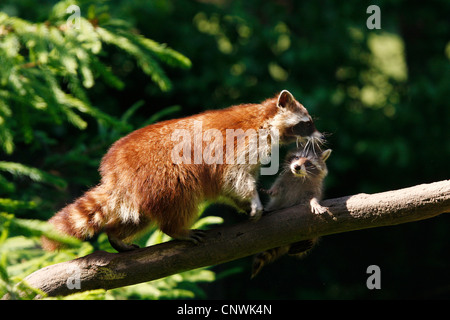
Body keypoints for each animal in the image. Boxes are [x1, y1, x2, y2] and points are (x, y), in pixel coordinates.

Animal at [251, 147, 332, 278]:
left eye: (308, 163)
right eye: (297, 157)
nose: (297, 167)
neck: (298, 177)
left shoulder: (313, 189)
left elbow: (313, 198)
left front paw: (315, 203)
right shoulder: (282, 182)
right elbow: (276, 189)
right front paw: (271, 191)